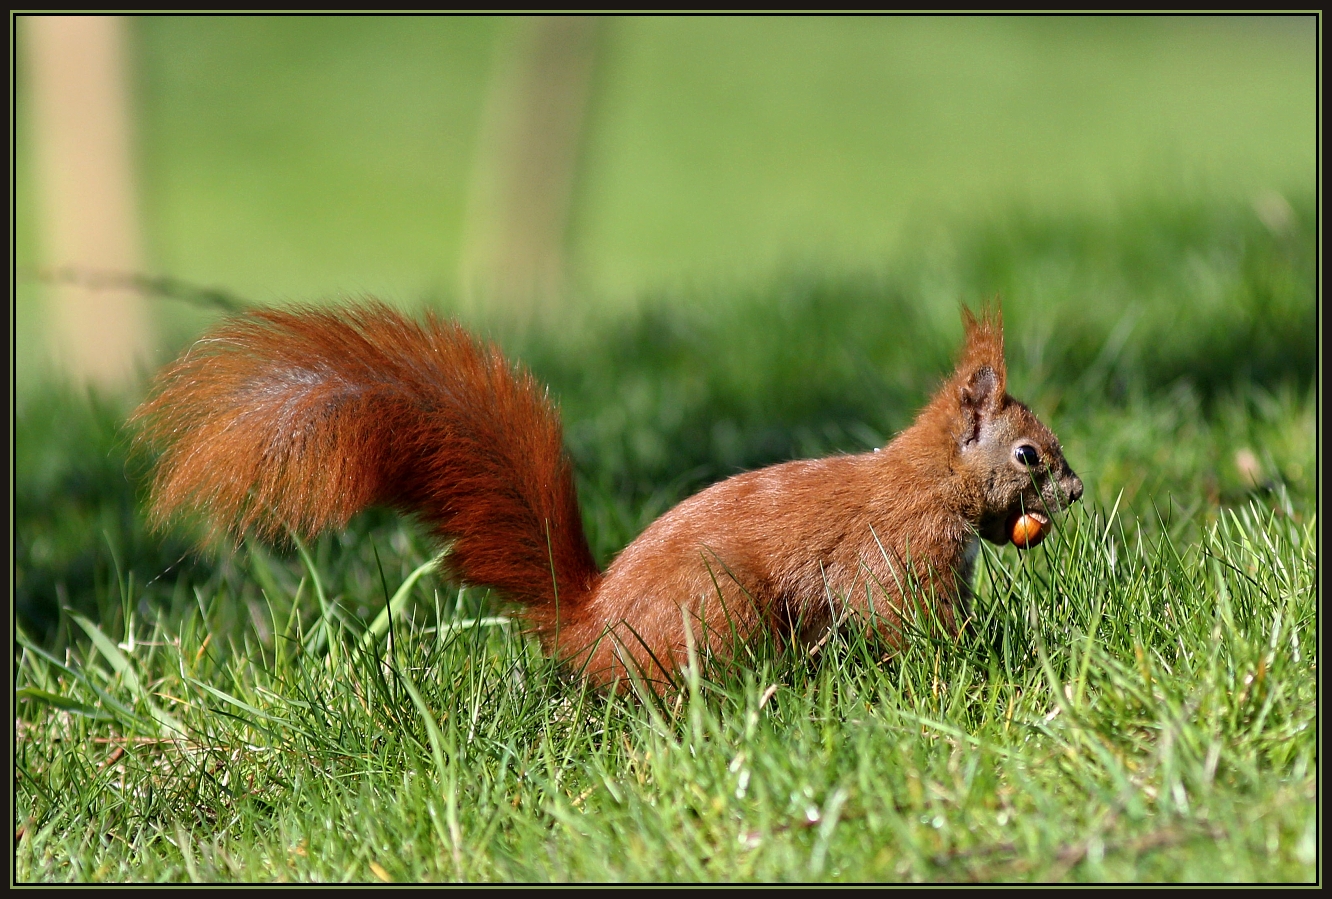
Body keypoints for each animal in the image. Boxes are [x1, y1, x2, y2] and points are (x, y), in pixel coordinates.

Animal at [135, 302, 1081, 687]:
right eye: (1029, 452)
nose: (1074, 488)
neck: (925, 478)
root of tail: (587, 624)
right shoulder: (899, 552)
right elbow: (907, 619)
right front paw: (964, 661)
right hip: (718, 606)